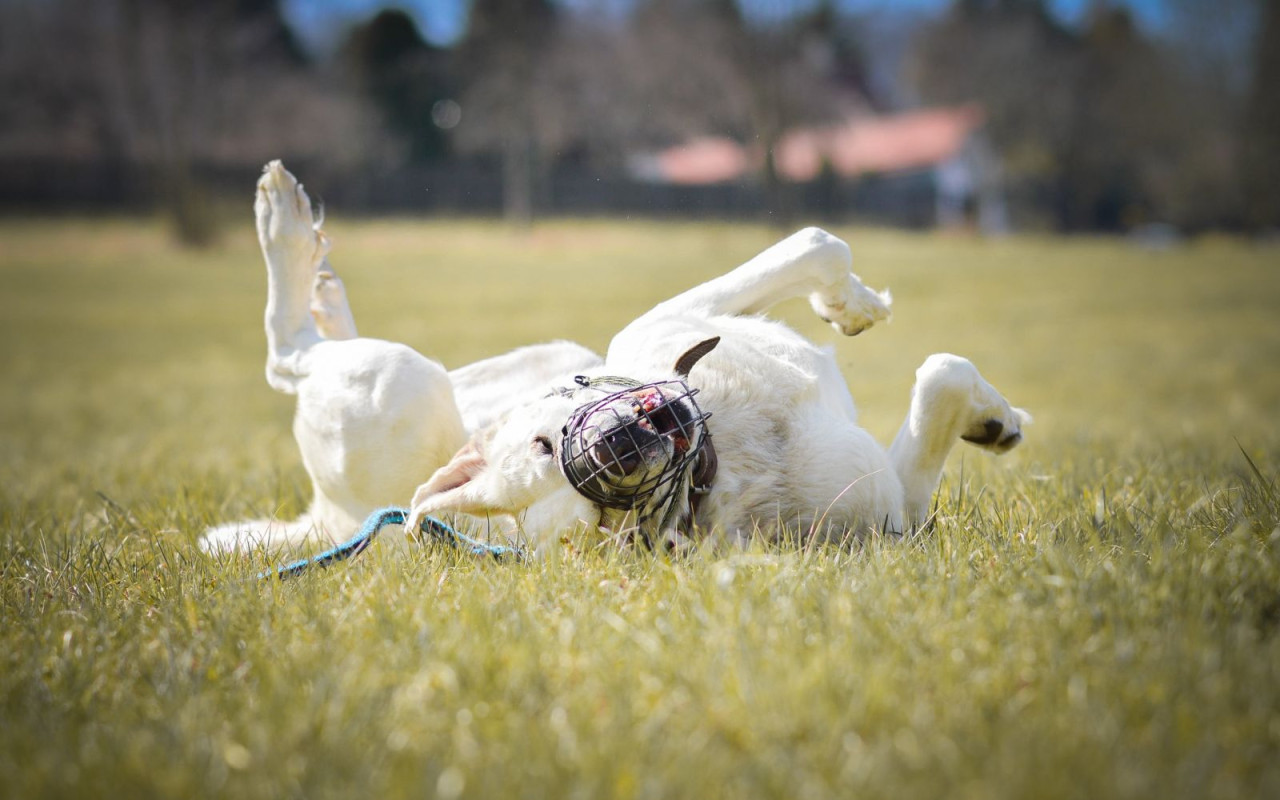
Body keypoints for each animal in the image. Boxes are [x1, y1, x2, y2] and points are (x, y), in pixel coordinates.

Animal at [202, 163, 1029, 555]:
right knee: (285, 355)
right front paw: (856, 308)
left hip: (466, 376)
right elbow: (832, 252)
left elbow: (924, 357)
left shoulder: (896, 510)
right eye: (604, 516)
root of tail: (329, 518)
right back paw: (285, 226)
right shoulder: (891, 517)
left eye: (544, 443)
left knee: (325, 348)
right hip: (395, 383)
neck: (728, 451)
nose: (617, 446)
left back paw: (327, 293)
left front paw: (994, 419)